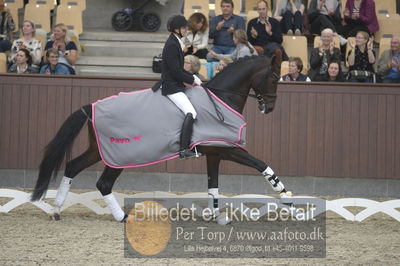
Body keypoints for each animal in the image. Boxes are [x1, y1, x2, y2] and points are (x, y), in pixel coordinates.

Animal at [31, 51, 292, 222]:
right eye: (273, 77)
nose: (269, 108)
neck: (221, 99)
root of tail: (92, 106)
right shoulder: (229, 150)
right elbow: (262, 165)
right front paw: (286, 197)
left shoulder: (215, 153)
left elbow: (213, 186)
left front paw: (215, 216)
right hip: (119, 155)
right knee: (103, 183)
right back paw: (122, 217)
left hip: (99, 150)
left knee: (73, 167)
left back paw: (57, 211)